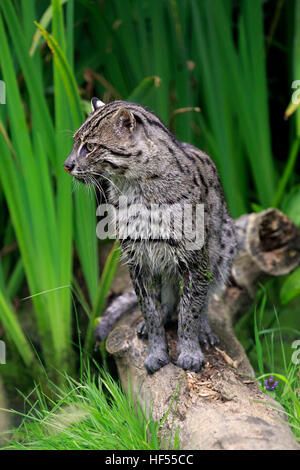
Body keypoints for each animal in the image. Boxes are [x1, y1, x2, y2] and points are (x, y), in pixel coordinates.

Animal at [63, 99, 237, 374]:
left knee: (206, 296)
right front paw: (156, 351)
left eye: (90, 146)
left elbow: (191, 310)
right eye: (75, 142)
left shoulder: (195, 261)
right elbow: (150, 310)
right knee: (167, 300)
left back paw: (204, 329)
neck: (134, 189)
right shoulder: (139, 261)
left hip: (224, 247)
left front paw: (190, 352)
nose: (67, 165)